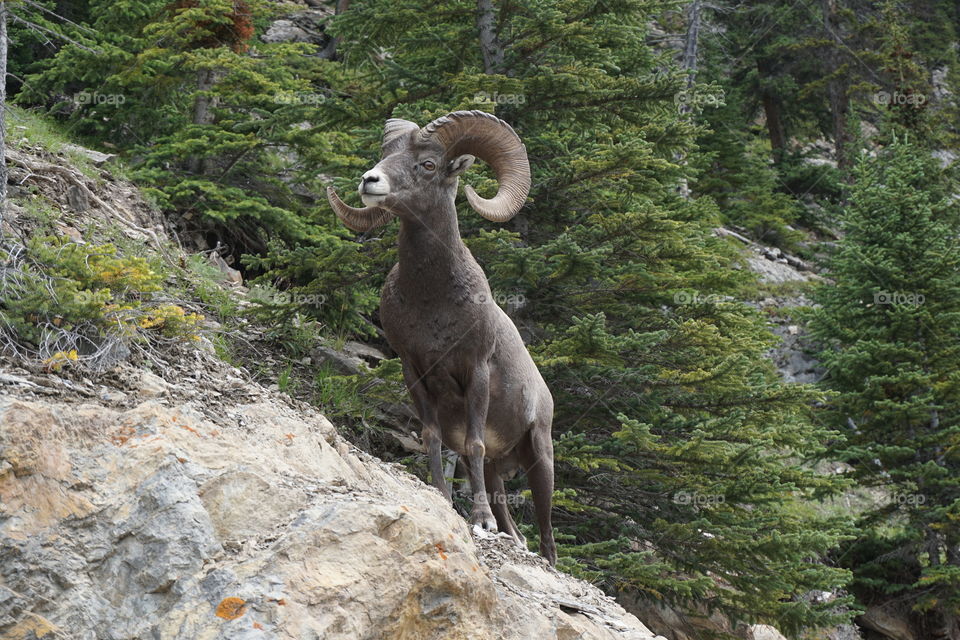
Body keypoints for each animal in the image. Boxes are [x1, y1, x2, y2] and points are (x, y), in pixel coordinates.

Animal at [328, 110, 560, 564]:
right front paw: (440, 496)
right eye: (387, 155)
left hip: (541, 456)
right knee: (508, 514)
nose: (369, 181)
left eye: (429, 164)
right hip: (501, 469)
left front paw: (480, 522)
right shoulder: (414, 371)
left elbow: (473, 443)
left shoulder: (476, 373)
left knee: (545, 533)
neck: (432, 302)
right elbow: (432, 438)